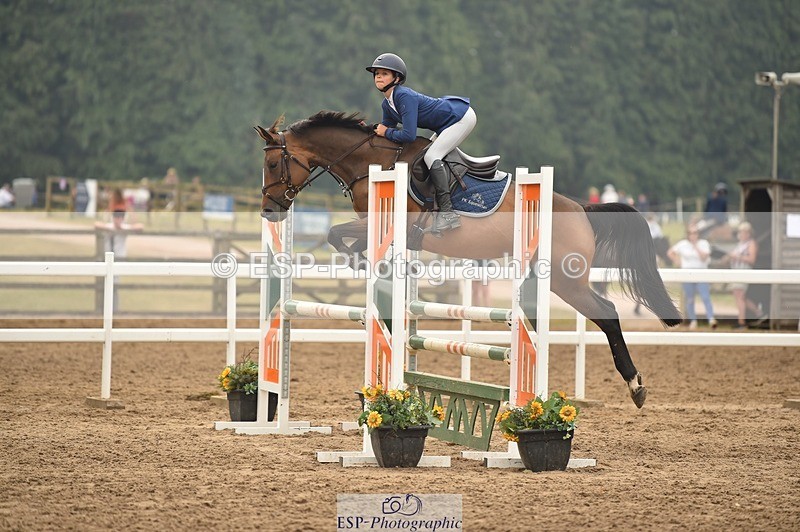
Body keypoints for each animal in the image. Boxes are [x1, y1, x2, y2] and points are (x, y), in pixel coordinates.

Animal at [256, 110, 681, 408]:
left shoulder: (394, 224)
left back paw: (635, 386)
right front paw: (363, 264)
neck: (369, 162)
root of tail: (581, 209)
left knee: (607, 313)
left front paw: (360, 262)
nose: (269, 211)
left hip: (566, 279)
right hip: (549, 277)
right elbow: (338, 236)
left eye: (274, 164)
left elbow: (336, 233)